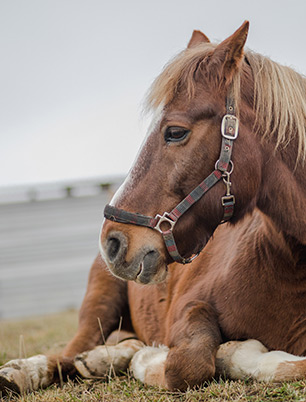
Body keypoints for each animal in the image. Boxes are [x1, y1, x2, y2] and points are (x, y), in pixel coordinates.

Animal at [0, 22, 306, 396]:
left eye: (174, 132)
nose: (113, 241)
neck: (289, 260)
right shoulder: (188, 305)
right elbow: (188, 362)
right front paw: (152, 359)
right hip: (99, 299)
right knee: (70, 352)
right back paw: (27, 371)